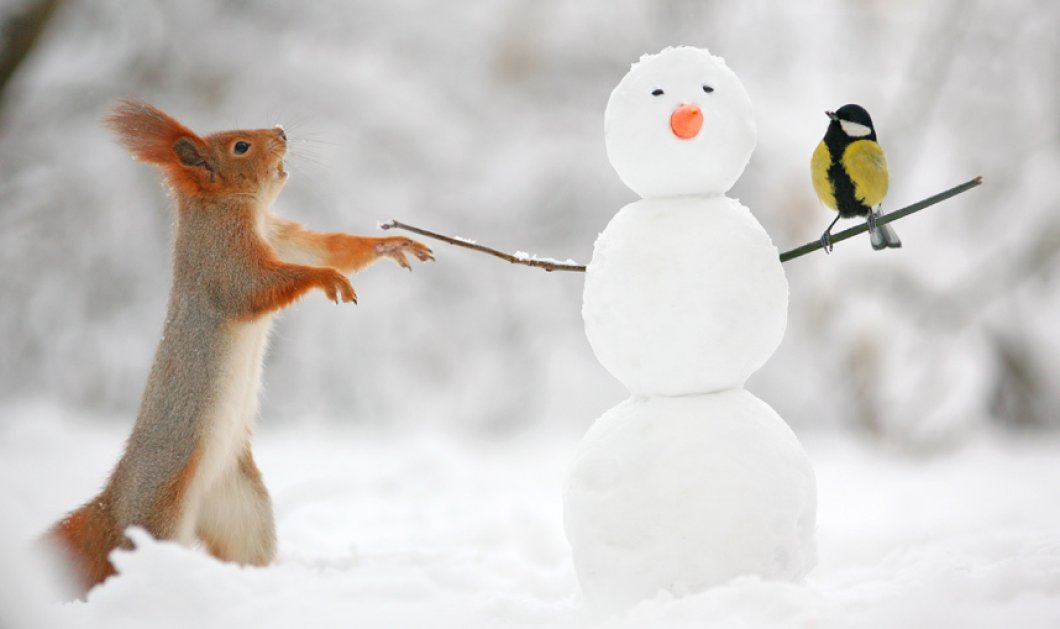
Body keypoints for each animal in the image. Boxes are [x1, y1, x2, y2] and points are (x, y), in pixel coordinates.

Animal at [41, 100, 430, 593]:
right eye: (240, 147)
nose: (281, 131)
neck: (244, 210)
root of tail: (111, 506)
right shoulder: (225, 260)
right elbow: (257, 287)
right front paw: (328, 280)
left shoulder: (284, 237)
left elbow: (330, 249)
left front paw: (392, 243)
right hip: (158, 517)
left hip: (243, 508)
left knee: (246, 549)